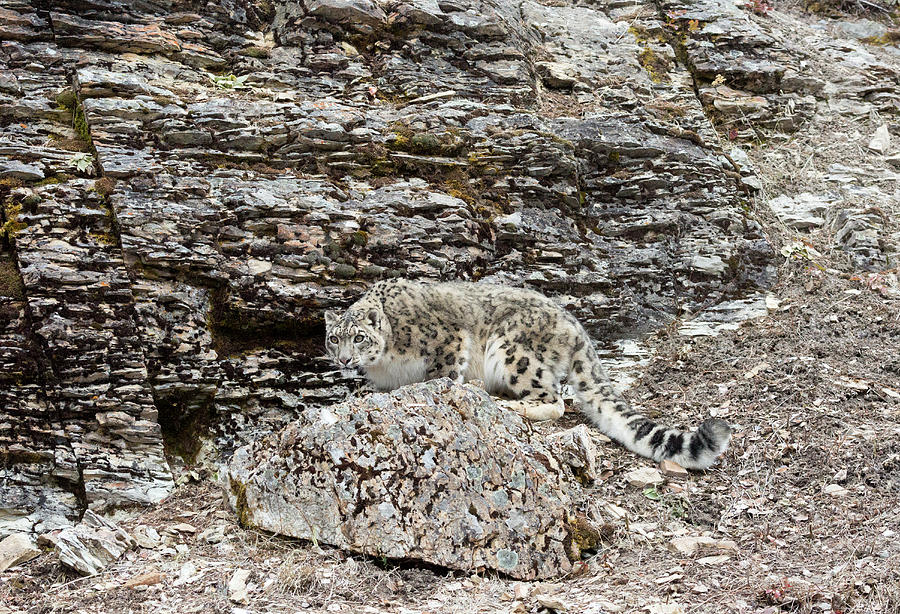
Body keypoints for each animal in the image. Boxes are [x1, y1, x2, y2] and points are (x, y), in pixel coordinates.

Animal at [324, 280, 732, 472]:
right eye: (333, 338)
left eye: (359, 337)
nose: (343, 359)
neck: (387, 362)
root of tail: (576, 327)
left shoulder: (449, 342)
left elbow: (442, 376)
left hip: (512, 351)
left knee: (554, 399)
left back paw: (507, 404)